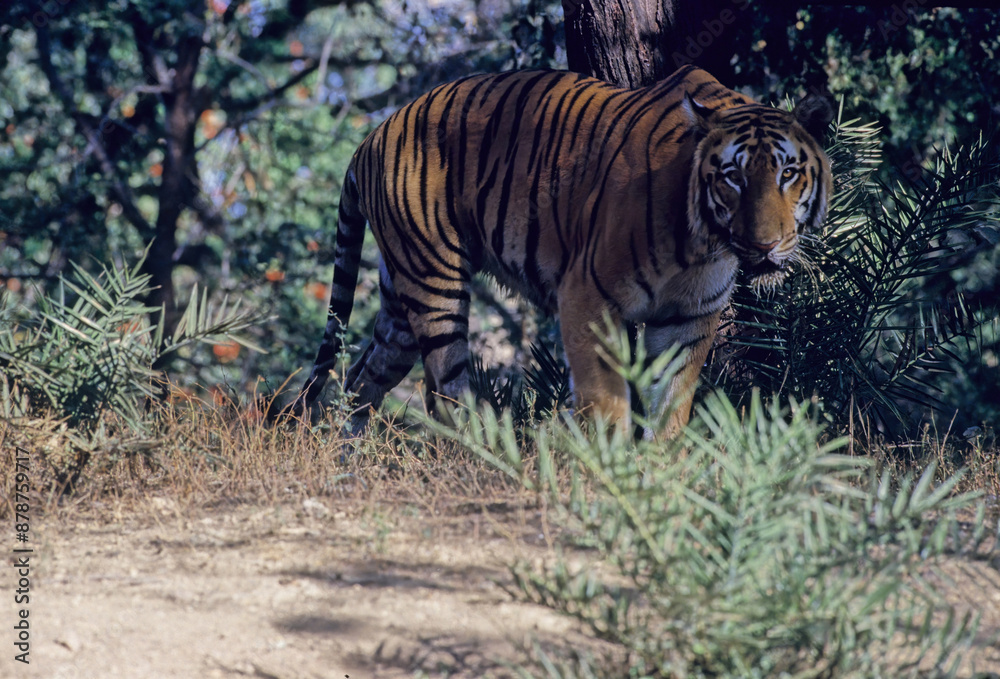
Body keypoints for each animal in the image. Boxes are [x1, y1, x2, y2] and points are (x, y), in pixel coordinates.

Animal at [291, 64, 833, 437]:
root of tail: (371, 136)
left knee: (360, 379)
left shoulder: (689, 318)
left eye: (787, 173)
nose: (764, 244)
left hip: (400, 302)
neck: (704, 245)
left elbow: (671, 405)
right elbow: (605, 398)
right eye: (732, 177)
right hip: (435, 282)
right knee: (443, 391)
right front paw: (612, 471)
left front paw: (660, 475)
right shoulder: (588, 296)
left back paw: (344, 453)